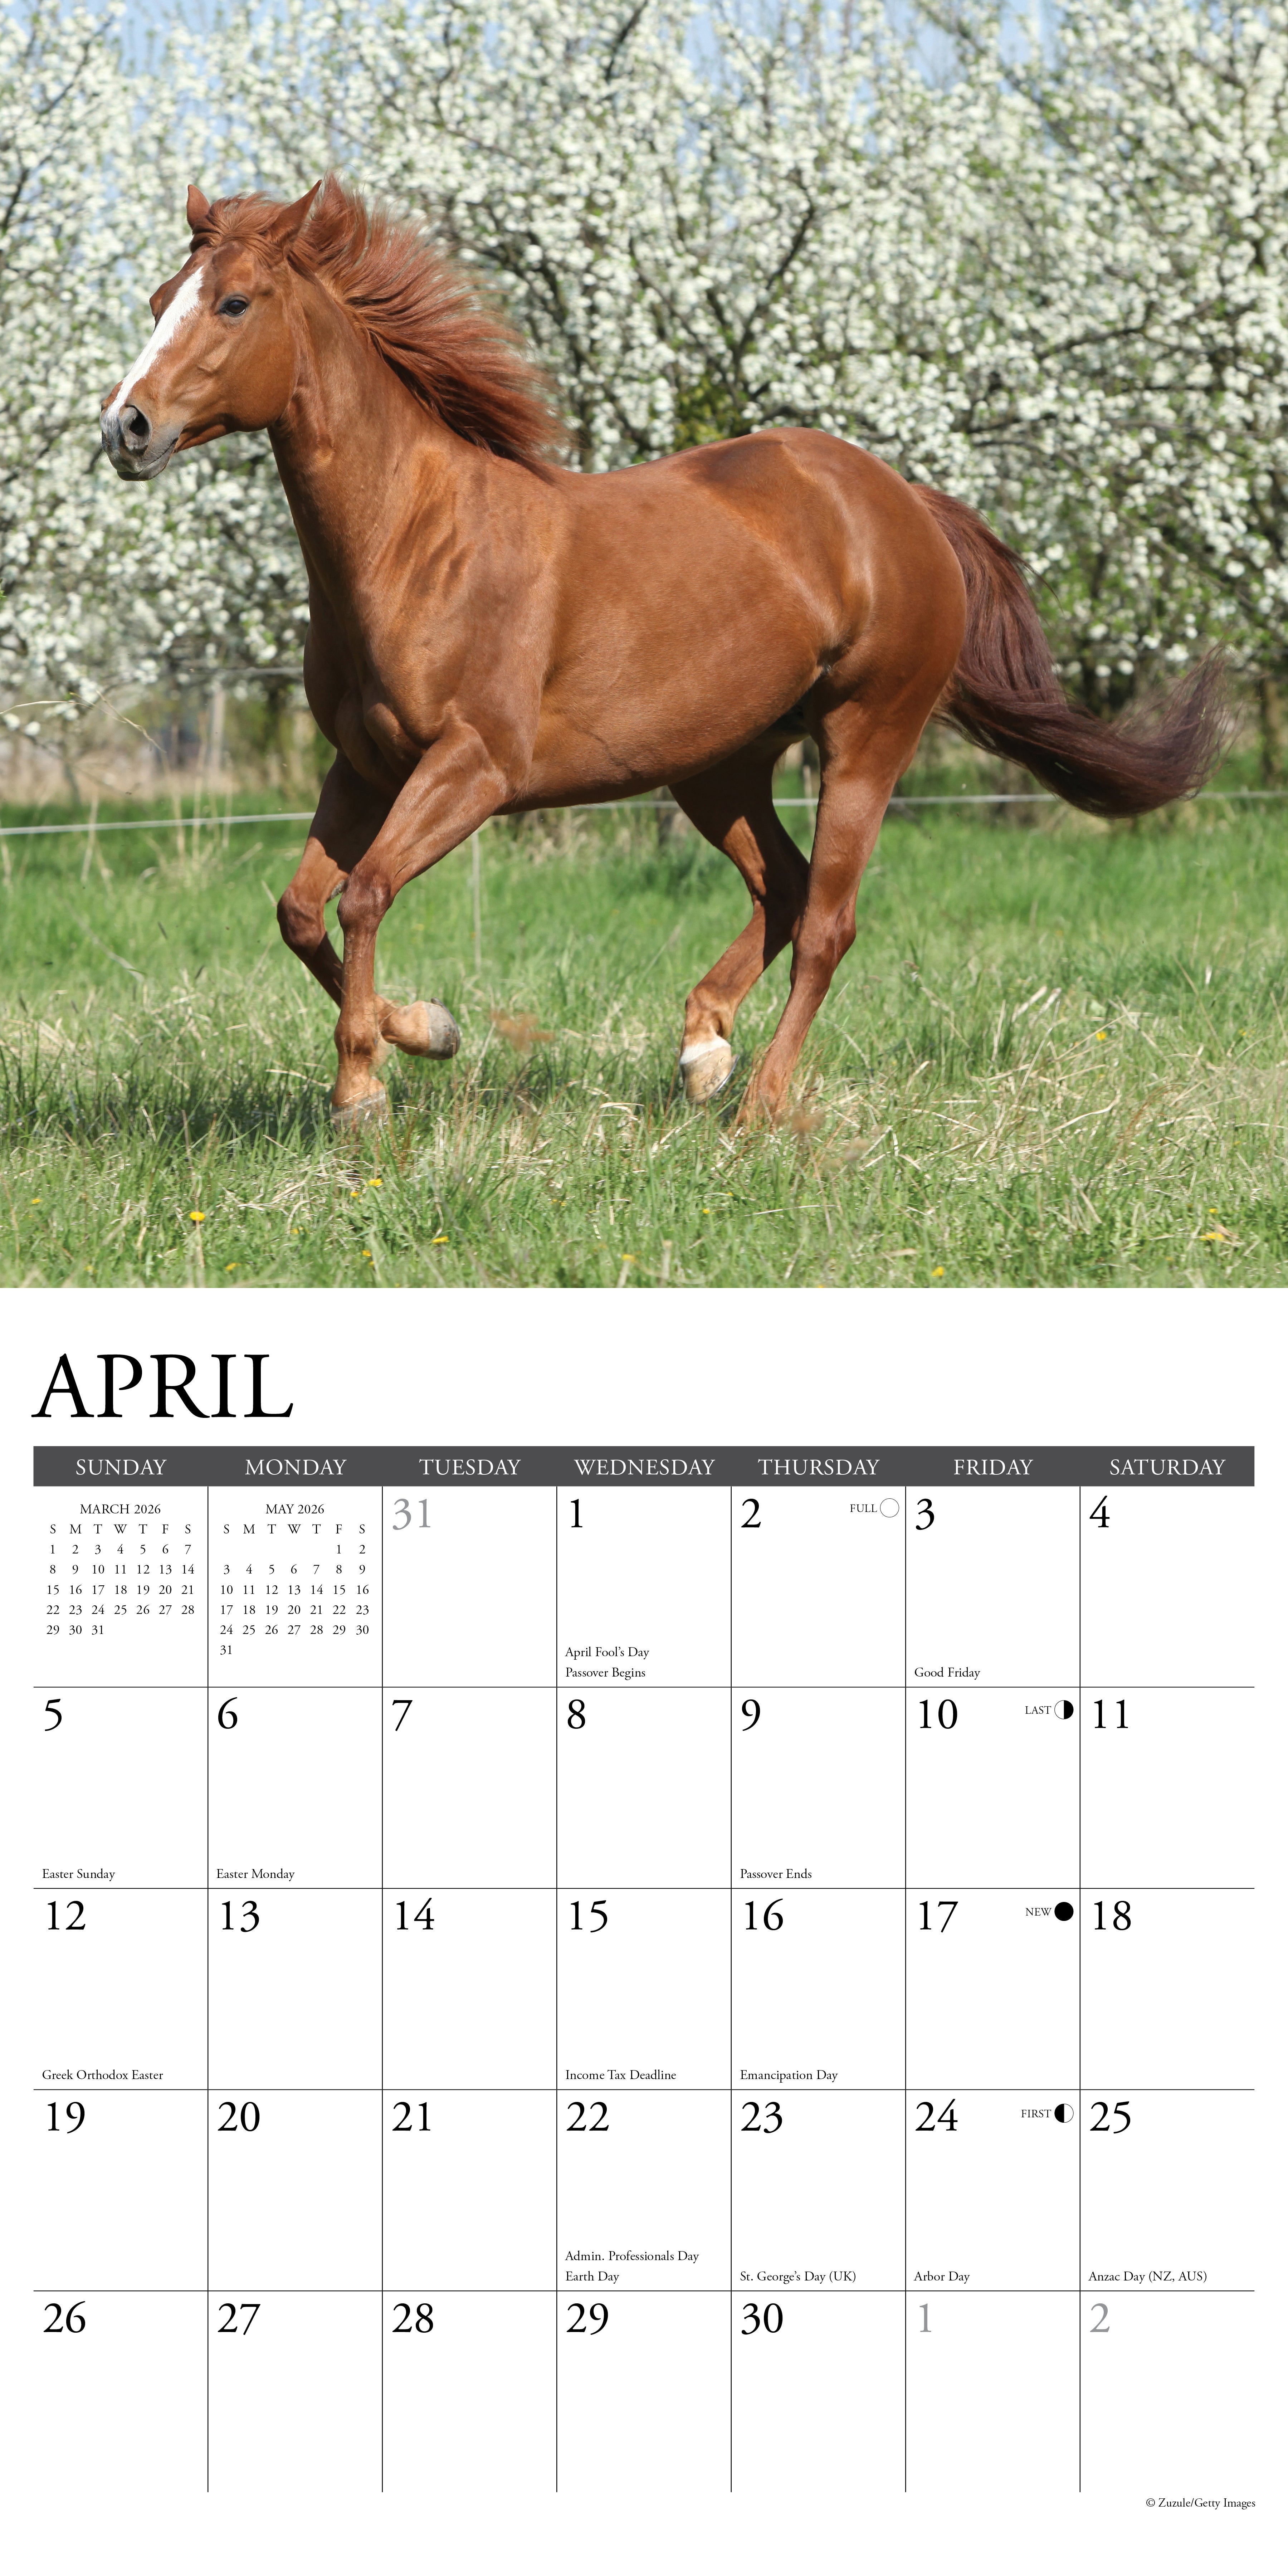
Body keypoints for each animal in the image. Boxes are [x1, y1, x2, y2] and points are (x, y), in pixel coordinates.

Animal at [101, 178, 1224, 1128]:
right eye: (159, 298)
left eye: (234, 303)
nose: (126, 428)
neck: (417, 545)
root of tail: (902, 502)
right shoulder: (365, 764)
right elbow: (300, 911)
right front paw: (423, 1033)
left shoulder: (474, 766)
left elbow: (366, 893)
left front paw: (367, 1090)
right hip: (717, 763)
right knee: (784, 887)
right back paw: (702, 1051)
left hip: (868, 733)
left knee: (829, 920)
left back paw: (759, 1104)